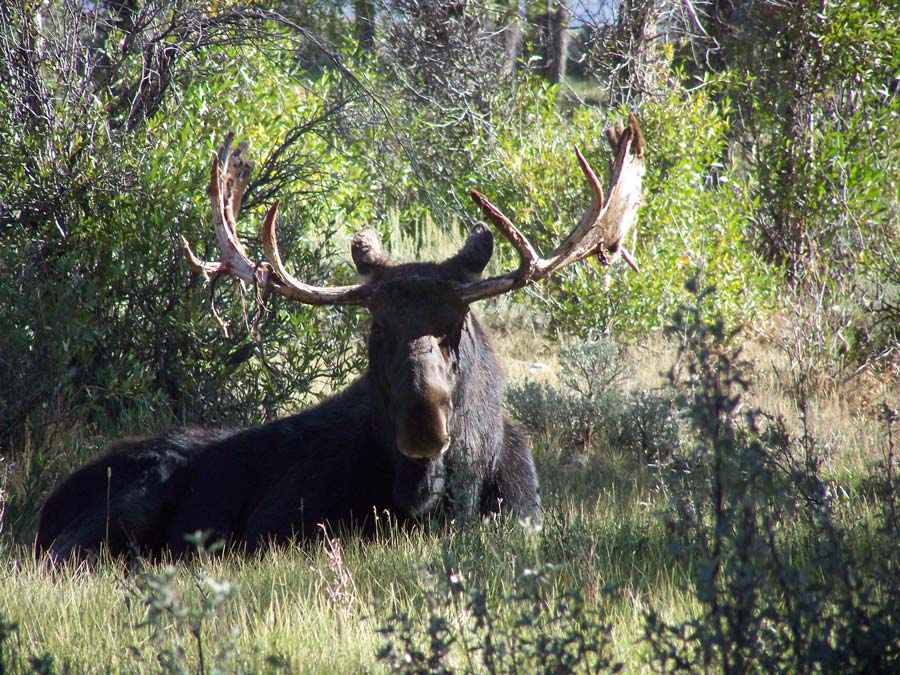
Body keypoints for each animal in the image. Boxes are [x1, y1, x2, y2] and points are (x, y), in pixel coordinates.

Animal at [35, 116, 648, 560]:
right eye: (377, 326)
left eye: (457, 325)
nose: (423, 421)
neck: (432, 497)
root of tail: (44, 508)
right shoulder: (274, 530)